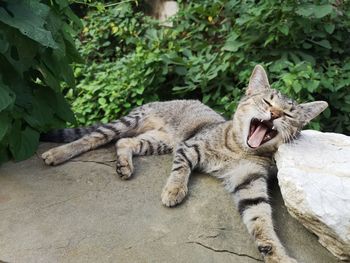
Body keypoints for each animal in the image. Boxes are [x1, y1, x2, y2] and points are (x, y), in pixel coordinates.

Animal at [41, 66, 328, 263]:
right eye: (267, 101)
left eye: (288, 113)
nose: (274, 114)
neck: (239, 149)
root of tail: (162, 100)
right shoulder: (189, 148)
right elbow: (181, 170)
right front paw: (174, 190)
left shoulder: (250, 181)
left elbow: (261, 219)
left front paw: (276, 253)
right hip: (128, 123)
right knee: (93, 138)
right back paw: (57, 153)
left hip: (157, 141)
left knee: (124, 143)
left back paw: (124, 165)